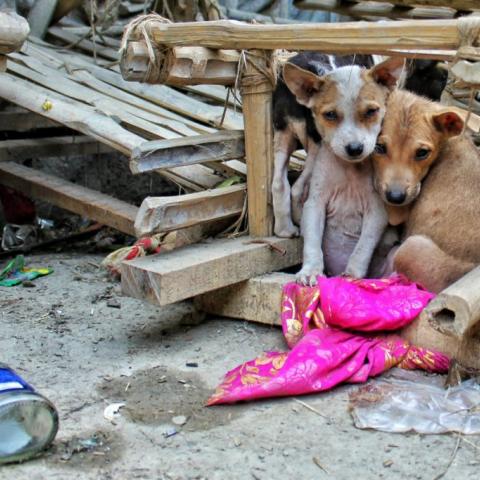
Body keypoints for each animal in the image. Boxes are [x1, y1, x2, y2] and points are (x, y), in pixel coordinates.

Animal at [282, 57, 404, 284]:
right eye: (330, 115)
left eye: (371, 111)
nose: (355, 148)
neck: (349, 170)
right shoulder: (315, 205)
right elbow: (312, 244)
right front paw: (311, 271)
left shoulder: (377, 212)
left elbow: (362, 247)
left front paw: (352, 275)